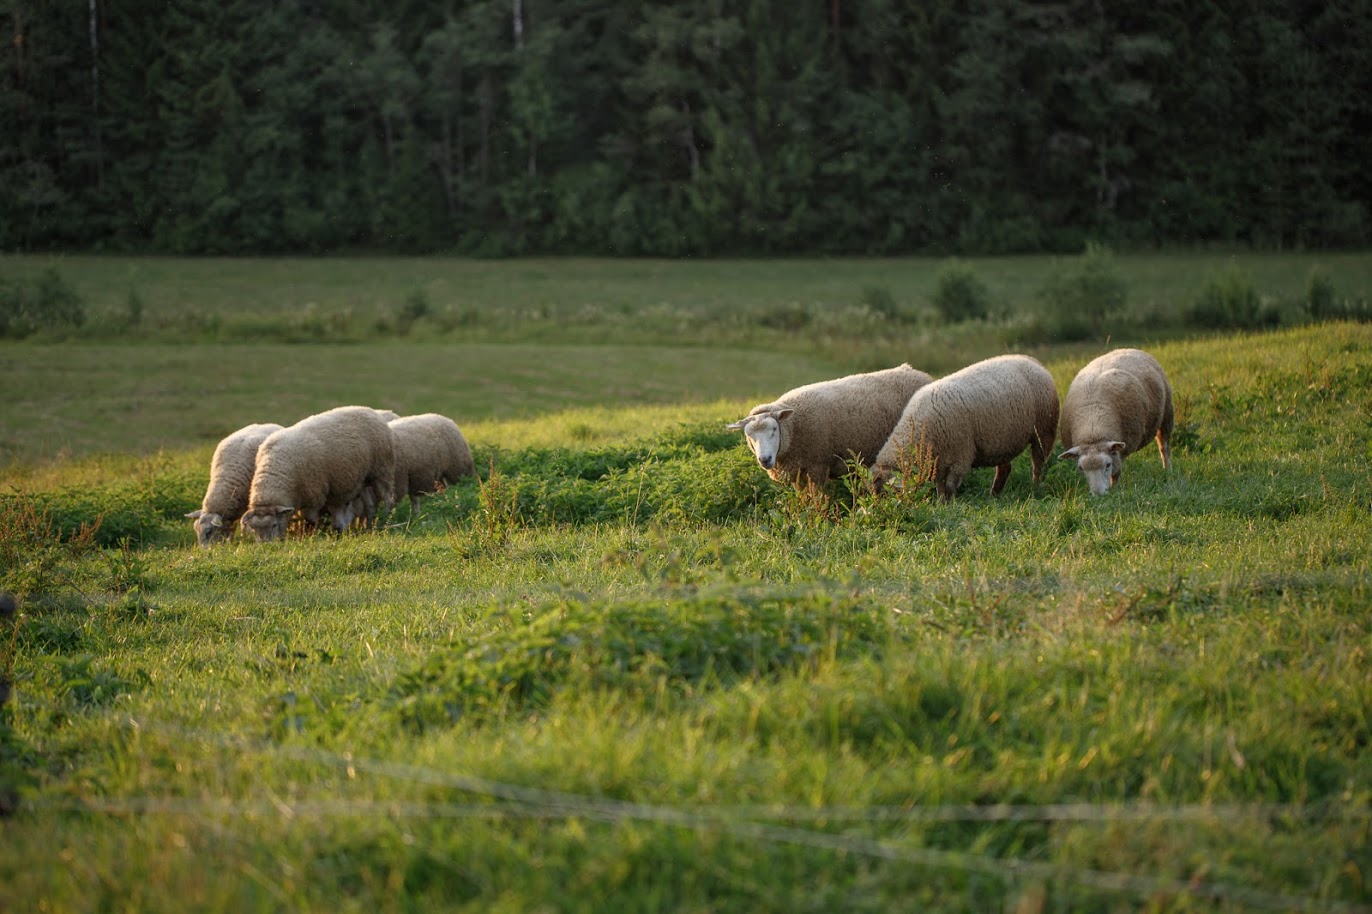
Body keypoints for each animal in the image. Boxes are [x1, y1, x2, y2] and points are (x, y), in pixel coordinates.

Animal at [241, 403, 397, 537]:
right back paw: (368, 525)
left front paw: (307, 538)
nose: (267, 546)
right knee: (370, 503)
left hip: (383, 470)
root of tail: (368, 409)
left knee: (388, 497)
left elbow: (309, 521)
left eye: (274, 525)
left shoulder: (314, 496)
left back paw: (387, 517)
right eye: (253, 529)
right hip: (363, 478)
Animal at [724, 362, 938, 491]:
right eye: (749, 437)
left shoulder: (817, 466)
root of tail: (916, 372)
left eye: (774, 430)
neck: (793, 428)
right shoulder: (798, 474)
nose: (765, 459)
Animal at [867, 354, 1059, 499]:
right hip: (1003, 440)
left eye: (884, 492)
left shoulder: (960, 455)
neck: (918, 430)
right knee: (1005, 468)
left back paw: (1035, 486)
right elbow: (940, 486)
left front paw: (949, 505)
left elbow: (950, 486)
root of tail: (1033, 361)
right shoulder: (939, 460)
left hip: (1044, 431)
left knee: (1038, 464)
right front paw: (940, 503)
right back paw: (994, 494)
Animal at [1053, 347, 1174, 491]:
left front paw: (1114, 489)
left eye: (1108, 465)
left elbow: (1116, 474)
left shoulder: (1119, 453)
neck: (1093, 431)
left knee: (1164, 447)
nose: (1099, 494)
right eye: (1081, 468)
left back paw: (1167, 470)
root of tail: (1129, 348)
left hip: (1167, 414)